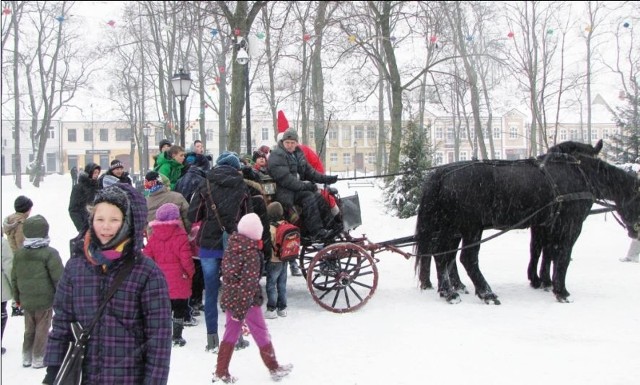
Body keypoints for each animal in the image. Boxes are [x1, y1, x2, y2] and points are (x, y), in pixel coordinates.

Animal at [416, 153, 640, 304]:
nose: (635, 232)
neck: (579, 174)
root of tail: (442, 174)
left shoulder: (546, 225)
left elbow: (545, 252)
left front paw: (543, 281)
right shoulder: (570, 225)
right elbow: (562, 256)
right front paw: (561, 291)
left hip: (451, 228)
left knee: (443, 256)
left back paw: (449, 291)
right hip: (470, 227)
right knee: (466, 258)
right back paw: (485, 293)